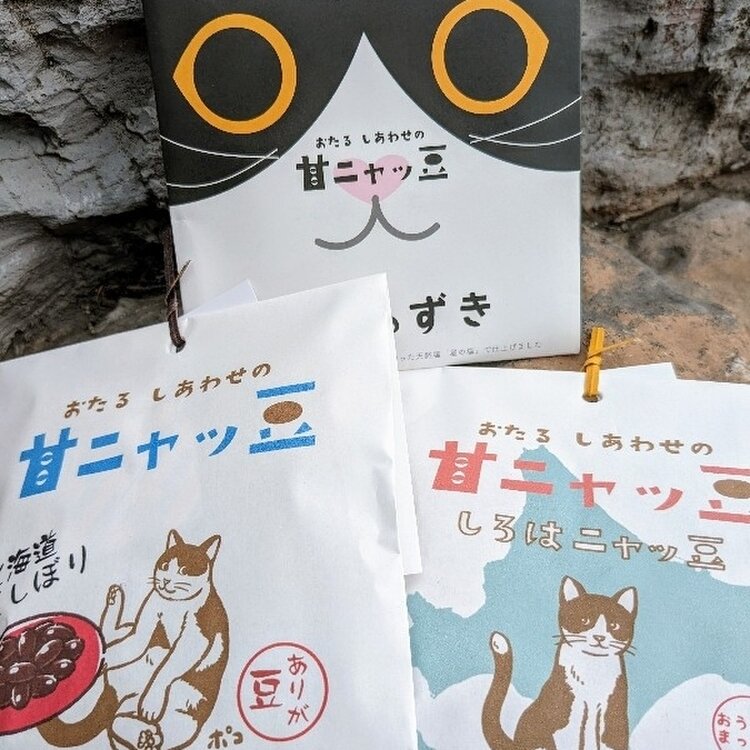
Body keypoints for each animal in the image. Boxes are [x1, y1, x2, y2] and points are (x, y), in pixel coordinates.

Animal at [38, 530, 229, 750]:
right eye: (165, 566)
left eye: (184, 570)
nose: (165, 581)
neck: (174, 604)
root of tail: (118, 692)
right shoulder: (149, 616)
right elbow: (138, 638)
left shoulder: (196, 636)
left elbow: (165, 669)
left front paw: (150, 703)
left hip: (187, 713)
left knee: (155, 734)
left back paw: (146, 736)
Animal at [482, 575, 637, 750]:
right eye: (584, 620)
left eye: (614, 625)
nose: (599, 637)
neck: (591, 668)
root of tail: (517, 743)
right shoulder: (564, 711)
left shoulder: (613, 712)